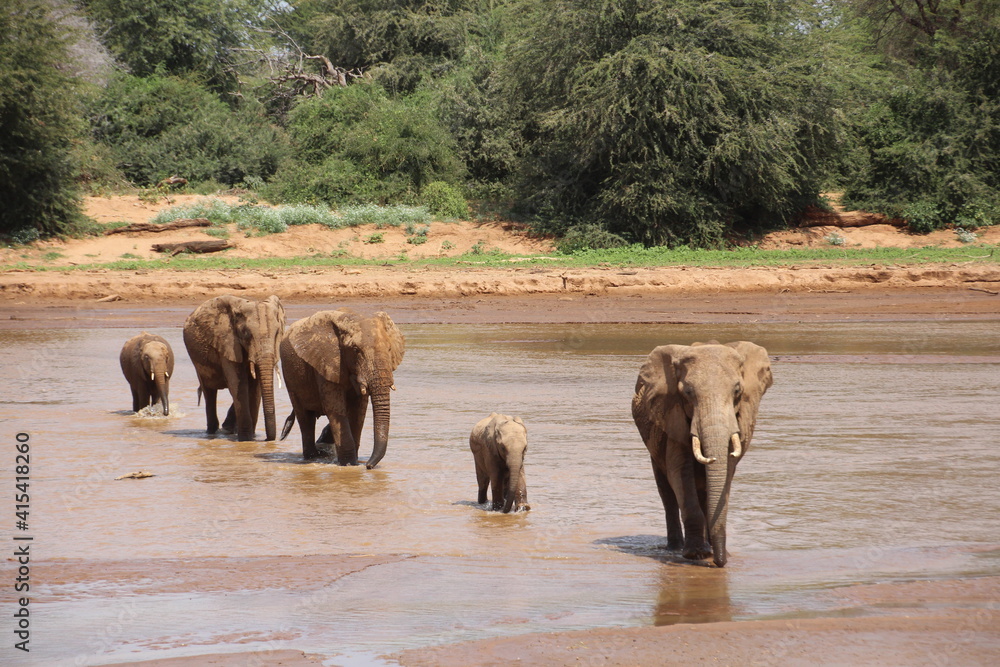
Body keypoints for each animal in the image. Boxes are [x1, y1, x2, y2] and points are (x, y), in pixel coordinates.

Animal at [183, 295, 286, 441]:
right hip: (197, 361)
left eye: (277, 333)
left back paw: (228, 429)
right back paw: (212, 432)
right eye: (246, 333)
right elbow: (238, 384)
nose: (268, 439)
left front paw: (251, 438)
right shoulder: (227, 342)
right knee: (209, 392)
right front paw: (246, 440)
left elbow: (255, 387)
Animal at [278, 308, 404, 468]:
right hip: (290, 377)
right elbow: (336, 409)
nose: (368, 466)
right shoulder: (325, 362)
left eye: (389, 349)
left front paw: (353, 464)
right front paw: (349, 465)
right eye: (355, 350)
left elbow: (358, 410)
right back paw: (312, 458)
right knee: (305, 419)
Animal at [631, 341, 772, 567]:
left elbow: (726, 472)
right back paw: (676, 549)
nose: (721, 562)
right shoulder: (673, 417)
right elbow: (680, 472)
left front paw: (714, 554)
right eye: (688, 392)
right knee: (667, 493)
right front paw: (695, 554)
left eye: (737, 390)